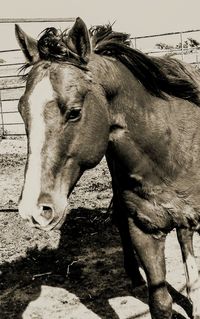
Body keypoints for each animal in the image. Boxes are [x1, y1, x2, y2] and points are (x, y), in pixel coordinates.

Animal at [16, 18, 200, 319]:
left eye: (75, 112)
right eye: (22, 110)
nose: (34, 210)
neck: (174, 149)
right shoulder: (144, 231)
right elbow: (160, 303)